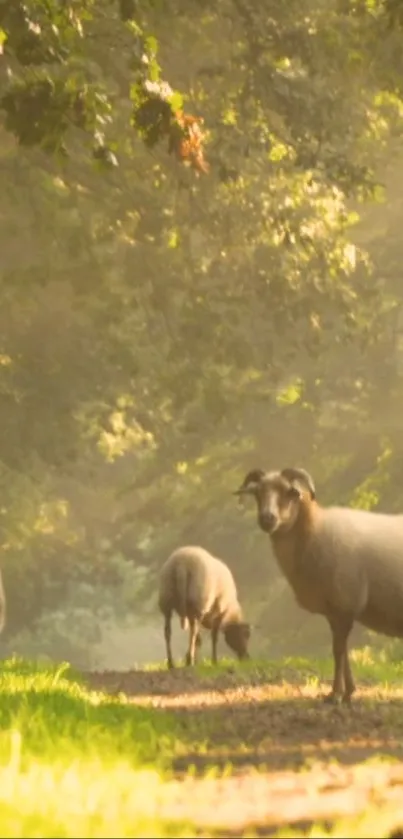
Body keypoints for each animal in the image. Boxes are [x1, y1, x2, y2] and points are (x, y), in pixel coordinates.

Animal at [235, 470, 403, 704]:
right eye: (258, 493)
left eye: (288, 492)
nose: (267, 519)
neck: (315, 530)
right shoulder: (335, 610)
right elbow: (342, 651)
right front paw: (347, 692)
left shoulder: (344, 604)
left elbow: (338, 651)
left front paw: (336, 694)